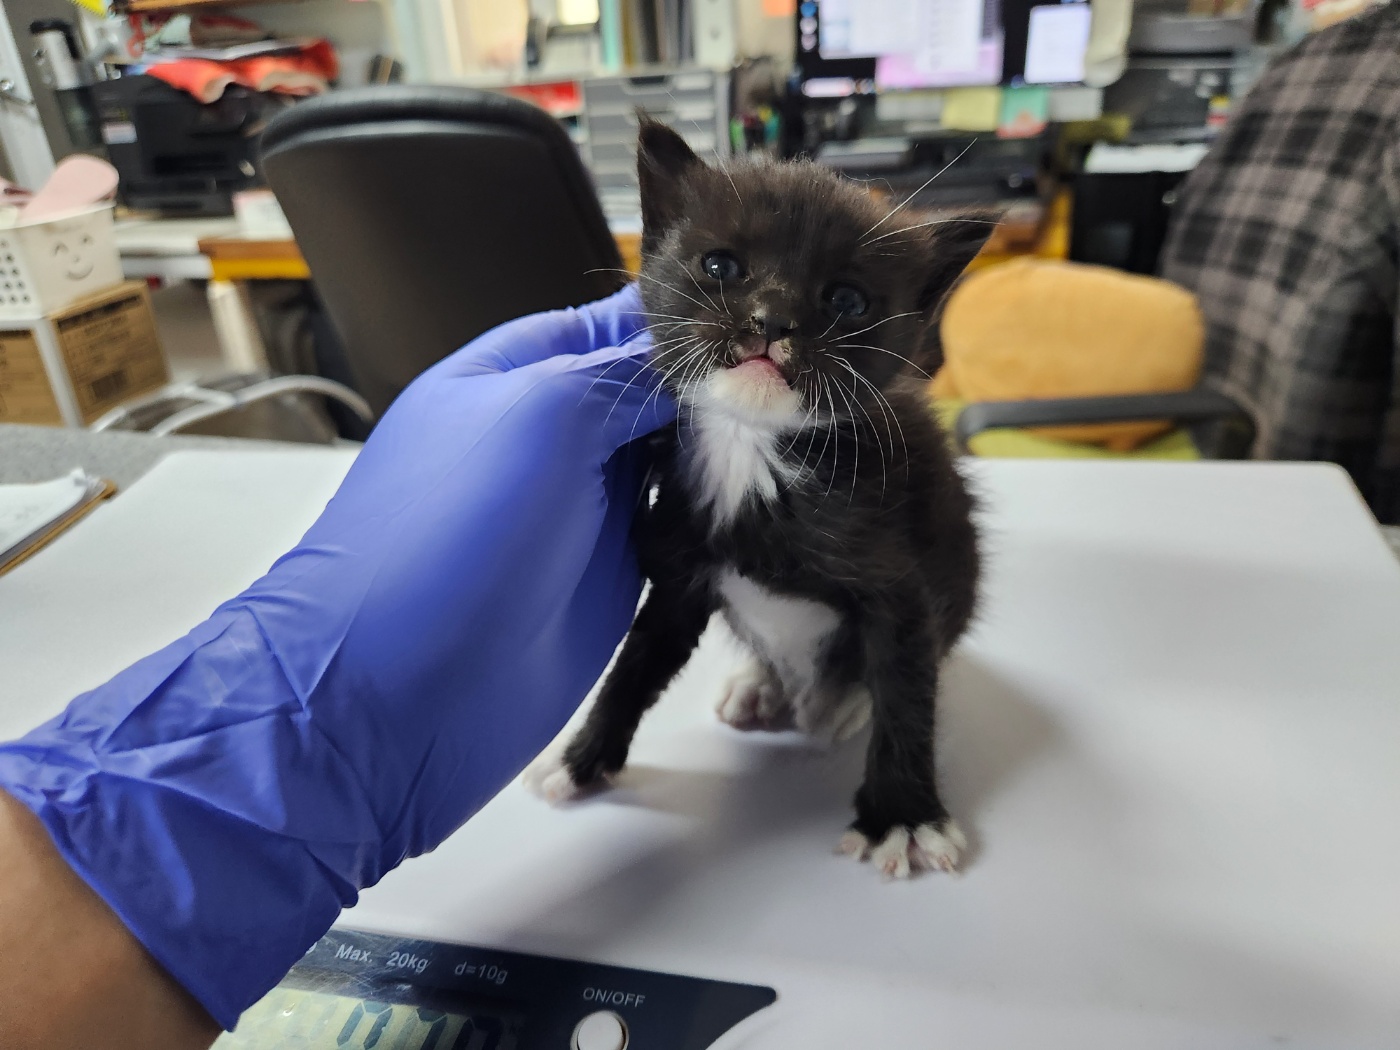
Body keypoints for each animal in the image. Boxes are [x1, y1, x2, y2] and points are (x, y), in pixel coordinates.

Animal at [523, 121, 985, 879]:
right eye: (720, 266)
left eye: (847, 301)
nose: (773, 321)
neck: (753, 454)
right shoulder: (679, 570)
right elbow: (635, 665)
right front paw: (578, 760)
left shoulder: (899, 577)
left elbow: (906, 686)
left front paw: (904, 817)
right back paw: (758, 682)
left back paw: (841, 702)